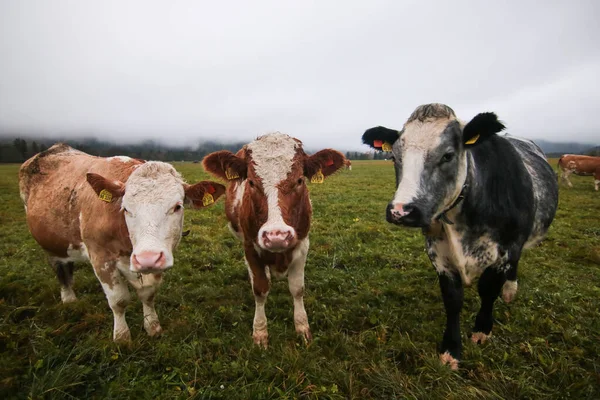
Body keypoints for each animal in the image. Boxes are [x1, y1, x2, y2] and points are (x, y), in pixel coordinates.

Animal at [19, 143, 225, 340]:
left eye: (177, 206)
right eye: (125, 208)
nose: (147, 258)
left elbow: (148, 294)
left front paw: (152, 326)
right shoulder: (100, 258)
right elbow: (118, 300)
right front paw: (121, 336)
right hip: (49, 241)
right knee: (59, 267)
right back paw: (69, 298)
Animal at [202, 132, 344, 346]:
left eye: (299, 180)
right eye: (251, 182)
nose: (276, 236)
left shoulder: (302, 244)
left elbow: (297, 288)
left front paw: (302, 327)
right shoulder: (250, 246)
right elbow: (260, 289)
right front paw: (260, 332)